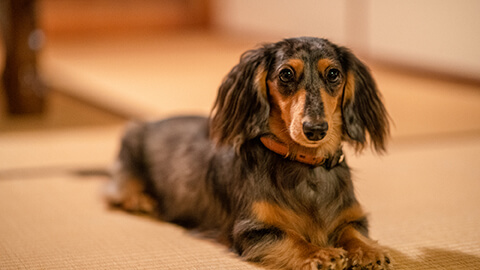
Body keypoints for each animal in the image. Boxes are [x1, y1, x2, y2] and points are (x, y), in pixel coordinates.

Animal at [104, 36, 390, 270]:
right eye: (286, 74)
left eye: (333, 74)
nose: (316, 129)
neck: (306, 164)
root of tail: (149, 123)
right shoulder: (251, 231)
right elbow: (290, 237)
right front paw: (319, 254)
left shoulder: (353, 216)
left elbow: (352, 232)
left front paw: (369, 251)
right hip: (129, 146)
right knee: (115, 188)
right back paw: (139, 199)